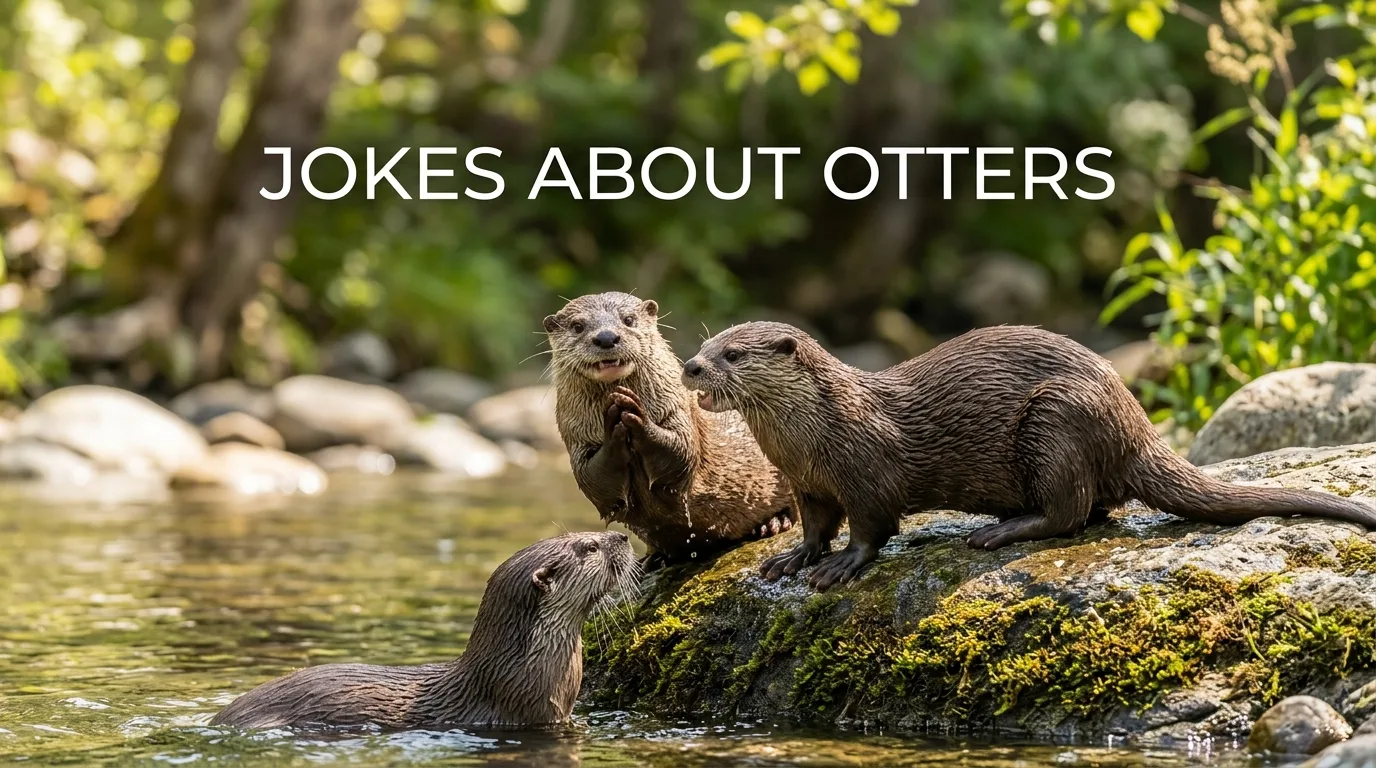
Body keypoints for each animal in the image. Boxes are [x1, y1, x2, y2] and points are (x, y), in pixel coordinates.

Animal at [544, 292, 795, 565]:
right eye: (578, 326)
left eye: (628, 319)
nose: (607, 337)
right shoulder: (576, 438)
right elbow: (595, 480)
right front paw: (613, 422)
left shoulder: (677, 410)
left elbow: (680, 452)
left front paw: (636, 414)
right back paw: (653, 559)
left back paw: (775, 522)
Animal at [682, 323, 1376, 591]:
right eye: (705, 344)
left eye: (732, 354)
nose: (690, 366)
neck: (814, 436)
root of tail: (1133, 421)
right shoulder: (807, 483)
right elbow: (815, 525)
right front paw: (791, 558)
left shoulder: (866, 470)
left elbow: (873, 527)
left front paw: (840, 567)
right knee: (1097, 509)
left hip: (1055, 420)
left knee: (1070, 510)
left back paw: (999, 531)